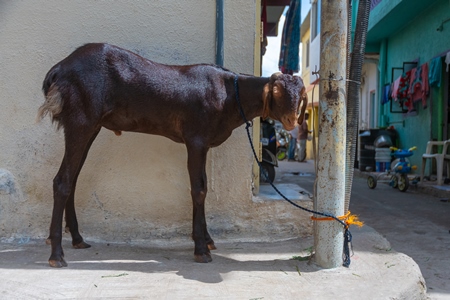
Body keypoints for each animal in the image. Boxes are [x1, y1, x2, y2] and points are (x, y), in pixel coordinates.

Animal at [37, 43, 308, 268]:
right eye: (277, 92)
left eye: (301, 96)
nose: (291, 120)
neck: (230, 94)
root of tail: (58, 70)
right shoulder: (196, 139)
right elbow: (199, 190)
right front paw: (201, 249)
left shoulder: (203, 144)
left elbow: (203, 186)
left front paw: (208, 239)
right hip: (80, 120)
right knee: (62, 181)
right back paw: (57, 255)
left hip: (90, 126)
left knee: (72, 179)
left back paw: (76, 238)